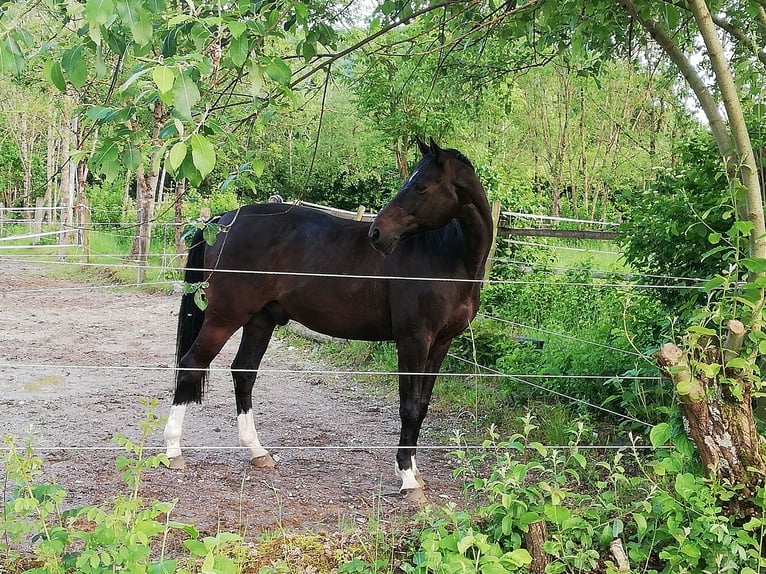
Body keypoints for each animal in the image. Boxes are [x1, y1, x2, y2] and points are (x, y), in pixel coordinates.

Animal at [165, 137, 496, 502]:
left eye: (421, 185)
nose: (378, 234)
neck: (447, 258)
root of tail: (222, 221)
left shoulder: (440, 343)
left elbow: (422, 404)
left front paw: (412, 469)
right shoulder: (413, 340)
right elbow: (408, 406)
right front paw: (408, 478)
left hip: (260, 320)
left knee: (244, 373)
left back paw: (258, 452)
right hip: (225, 317)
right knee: (191, 364)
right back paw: (173, 451)